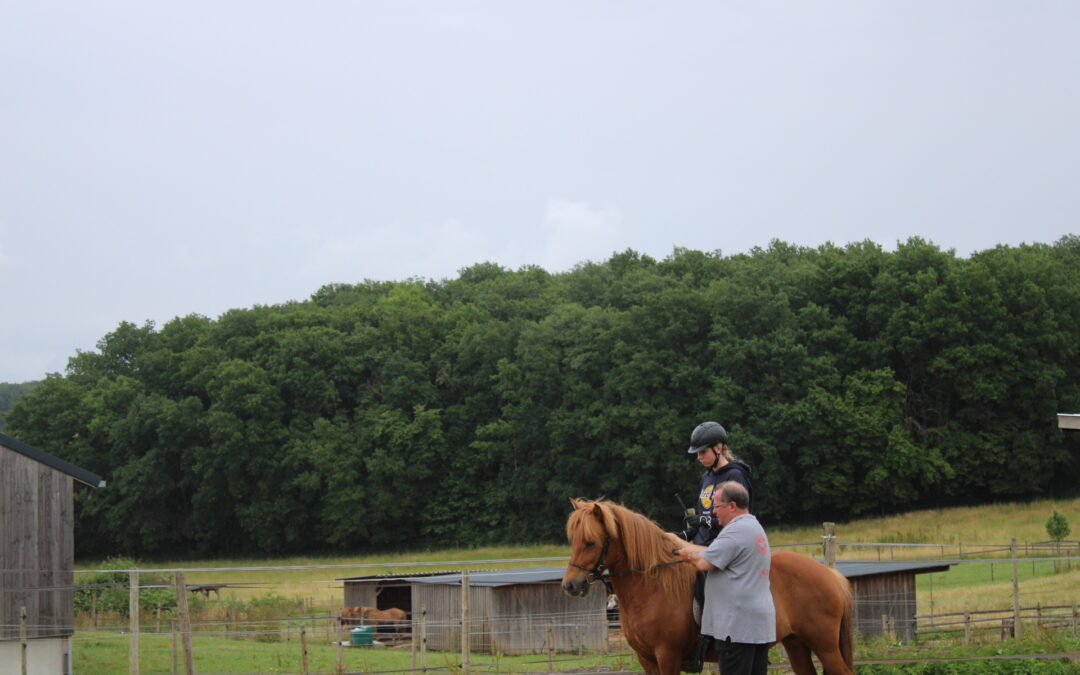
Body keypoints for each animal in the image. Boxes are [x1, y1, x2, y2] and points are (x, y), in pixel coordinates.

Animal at [565, 494, 851, 673]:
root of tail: (830, 574)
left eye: (590, 542)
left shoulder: (667, 656)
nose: (570, 586)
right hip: (797, 644)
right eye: (573, 540)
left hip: (825, 647)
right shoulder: (646, 659)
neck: (651, 587)